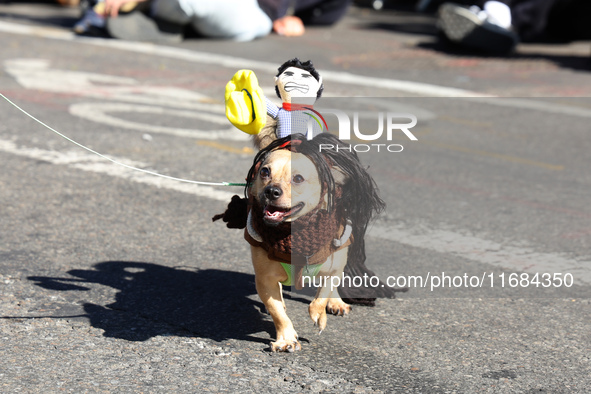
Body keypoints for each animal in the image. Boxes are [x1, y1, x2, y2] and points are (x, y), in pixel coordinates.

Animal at [213, 134, 398, 352]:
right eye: (264, 172)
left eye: (298, 179)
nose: (271, 191)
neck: (292, 234)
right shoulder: (265, 279)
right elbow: (278, 312)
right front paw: (286, 339)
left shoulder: (333, 268)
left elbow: (322, 295)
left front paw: (319, 314)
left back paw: (336, 303)